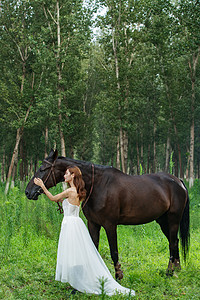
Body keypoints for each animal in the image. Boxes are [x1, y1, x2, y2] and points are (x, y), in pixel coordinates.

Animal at [25, 149, 190, 278]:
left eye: (43, 169)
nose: (28, 192)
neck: (98, 185)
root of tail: (178, 181)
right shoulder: (93, 224)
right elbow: (93, 248)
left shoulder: (110, 225)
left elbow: (114, 251)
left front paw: (118, 276)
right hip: (162, 221)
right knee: (174, 241)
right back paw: (177, 269)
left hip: (173, 220)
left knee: (172, 242)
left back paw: (169, 272)